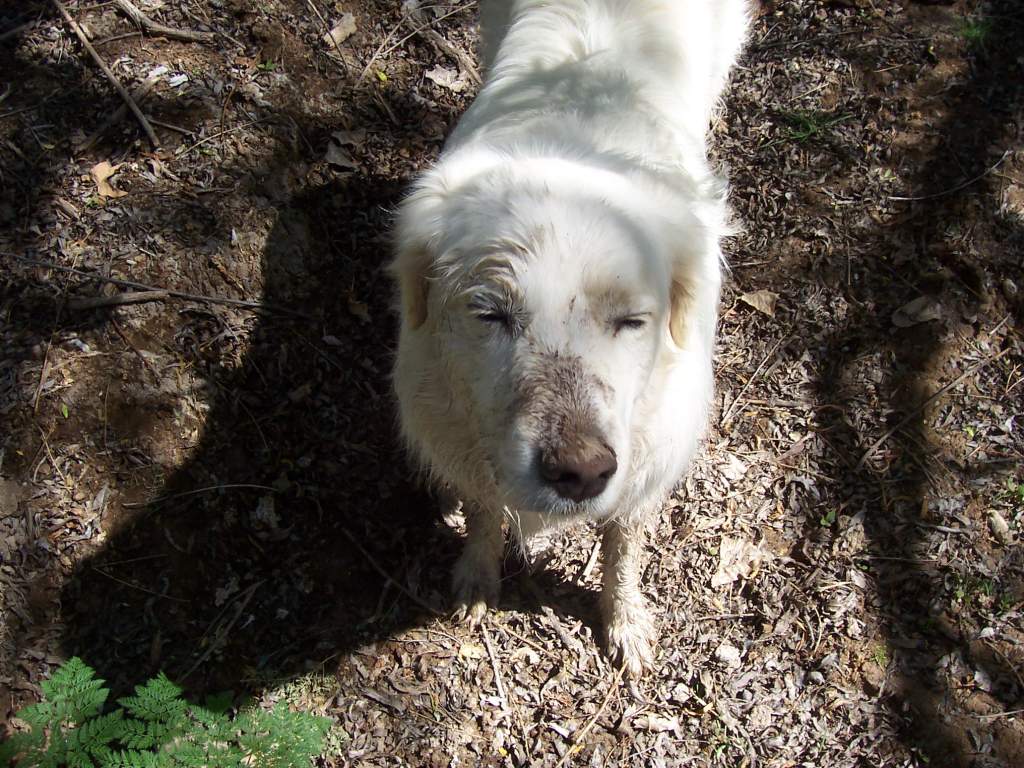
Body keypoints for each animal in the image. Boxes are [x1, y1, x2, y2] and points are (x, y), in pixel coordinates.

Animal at [387, 0, 749, 671]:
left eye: (631, 322)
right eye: (491, 315)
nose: (580, 473)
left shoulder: (648, 458)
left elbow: (624, 541)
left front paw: (624, 617)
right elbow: (483, 509)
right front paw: (477, 574)